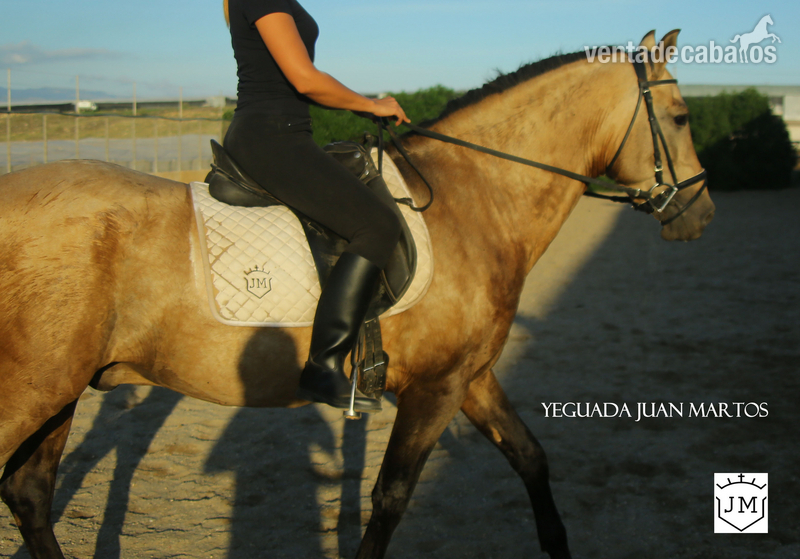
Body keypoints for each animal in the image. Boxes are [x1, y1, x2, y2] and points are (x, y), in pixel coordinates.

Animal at [0, 30, 714, 559]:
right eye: (681, 118)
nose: (700, 214)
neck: (473, 200)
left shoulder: (469, 376)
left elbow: (531, 458)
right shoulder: (435, 388)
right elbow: (392, 496)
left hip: (60, 393)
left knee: (30, 493)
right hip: (33, 392)